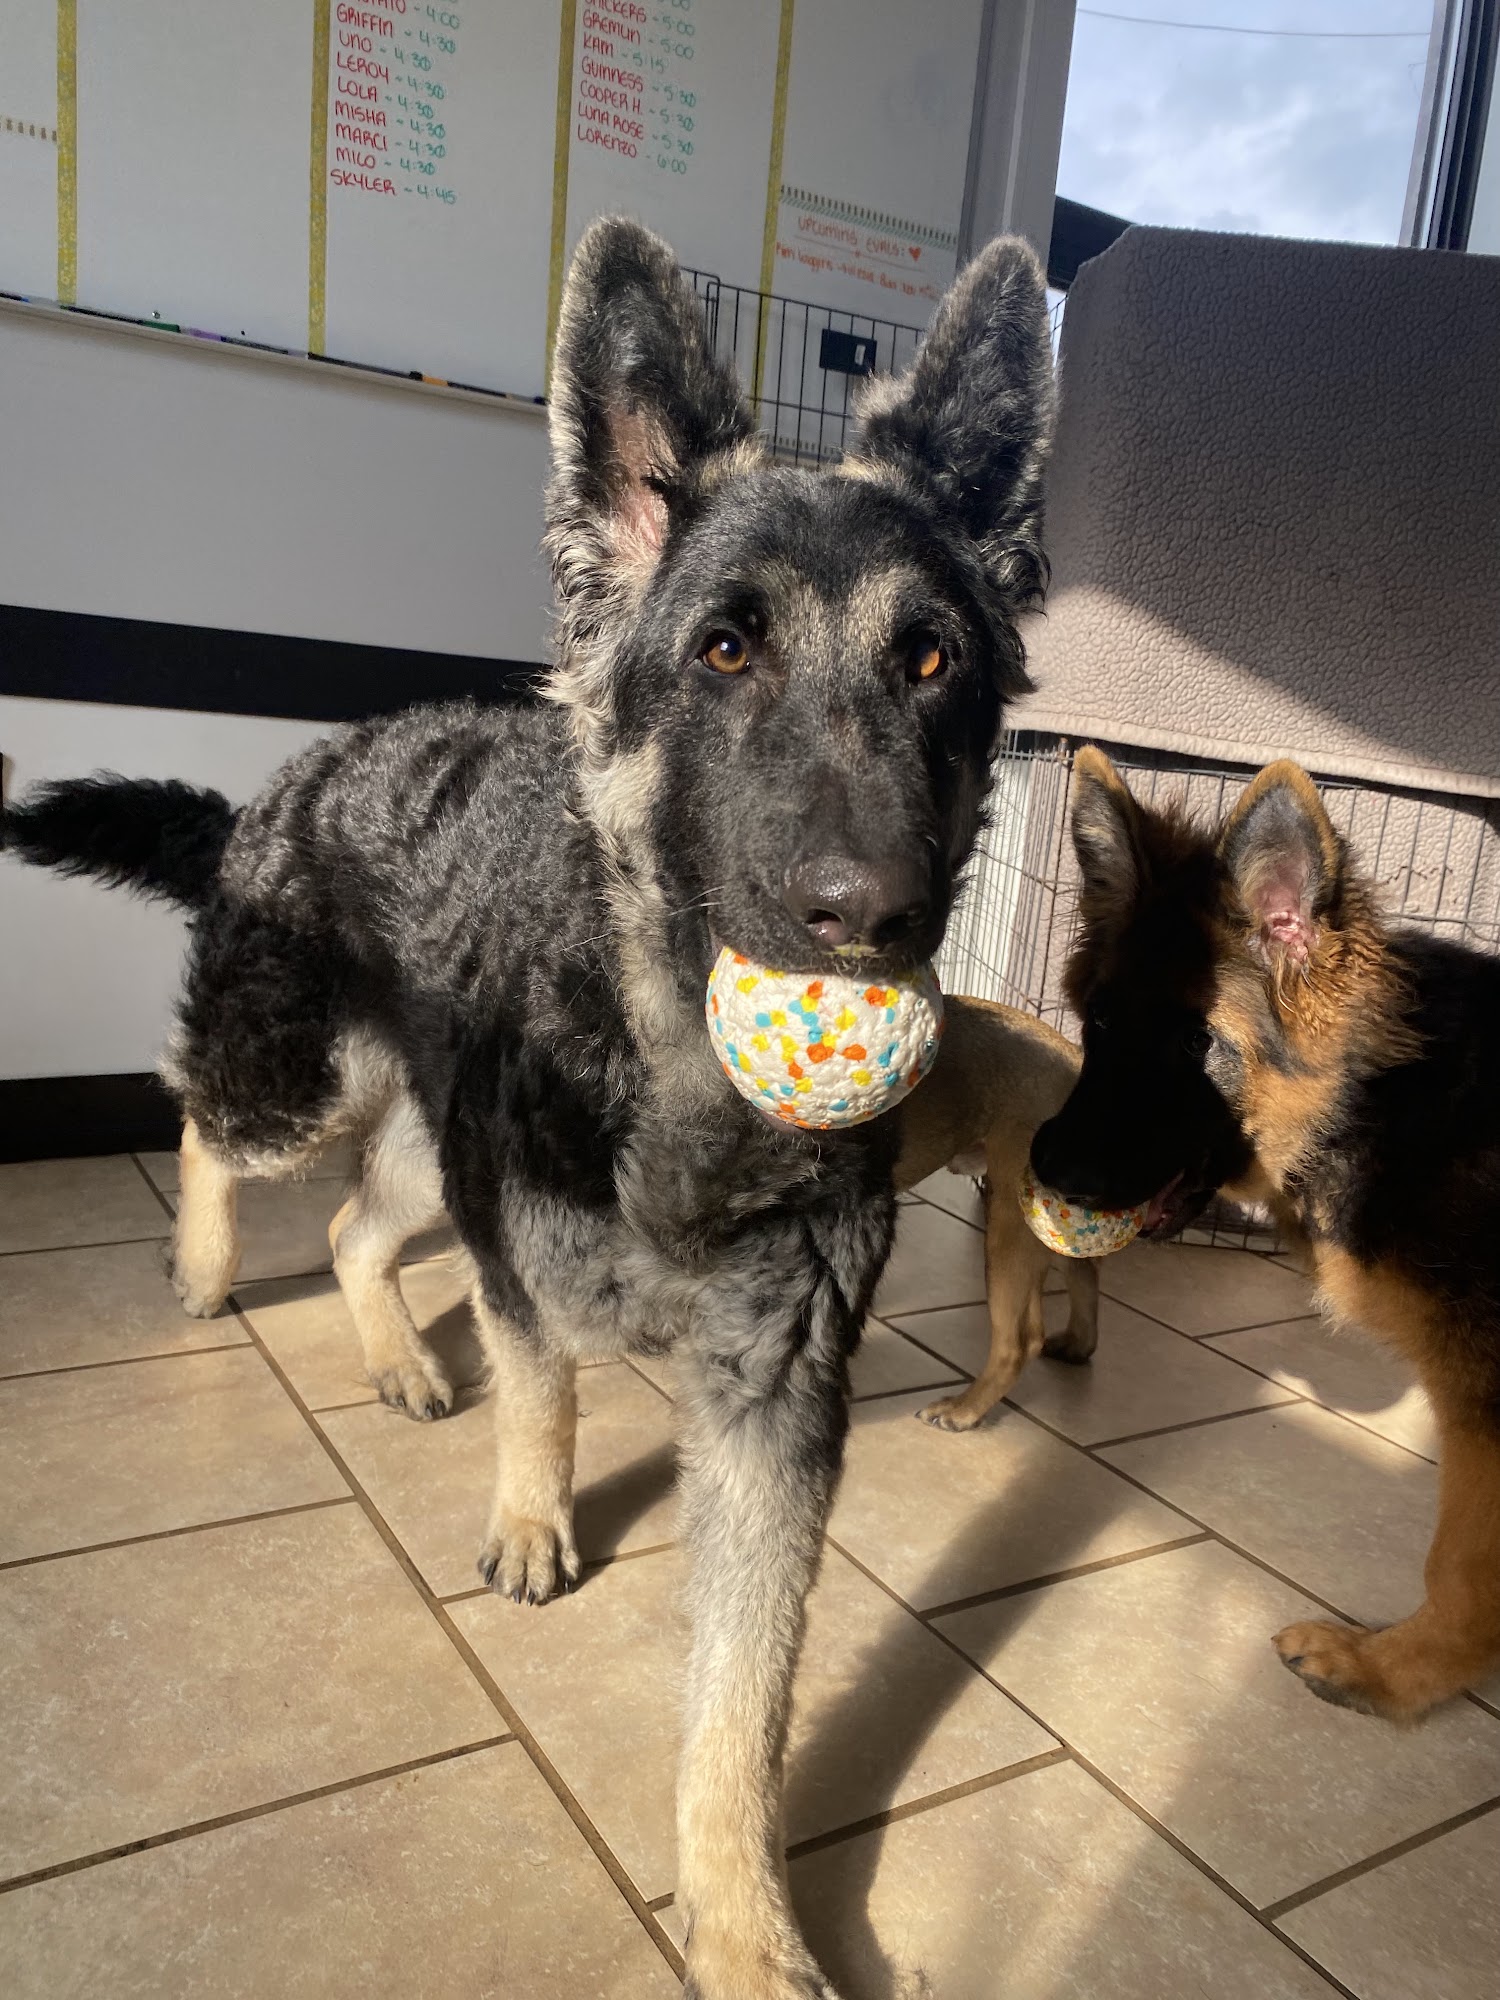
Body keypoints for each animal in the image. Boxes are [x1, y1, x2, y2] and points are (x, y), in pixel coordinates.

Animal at [4, 217, 1054, 1997]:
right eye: (725, 649)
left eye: (931, 662)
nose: (874, 918)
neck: (683, 1086)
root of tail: (282, 781)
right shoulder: (517, 1254)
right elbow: (545, 1380)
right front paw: (530, 1516)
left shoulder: (776, 1411)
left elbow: (743, 1705)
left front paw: (745, 1925)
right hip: (316, 1083)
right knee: (209, 1122)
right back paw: (209, 1270)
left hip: (430, 1148)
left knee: (356, 1231)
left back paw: (390, 1357)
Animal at [1031, 745, 1500, 1723]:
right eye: (1100, 1021)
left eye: (1193, 1044)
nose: (1048, 1168)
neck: (1384, 1102)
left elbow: (1462, 1567)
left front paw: (1393, 1674)